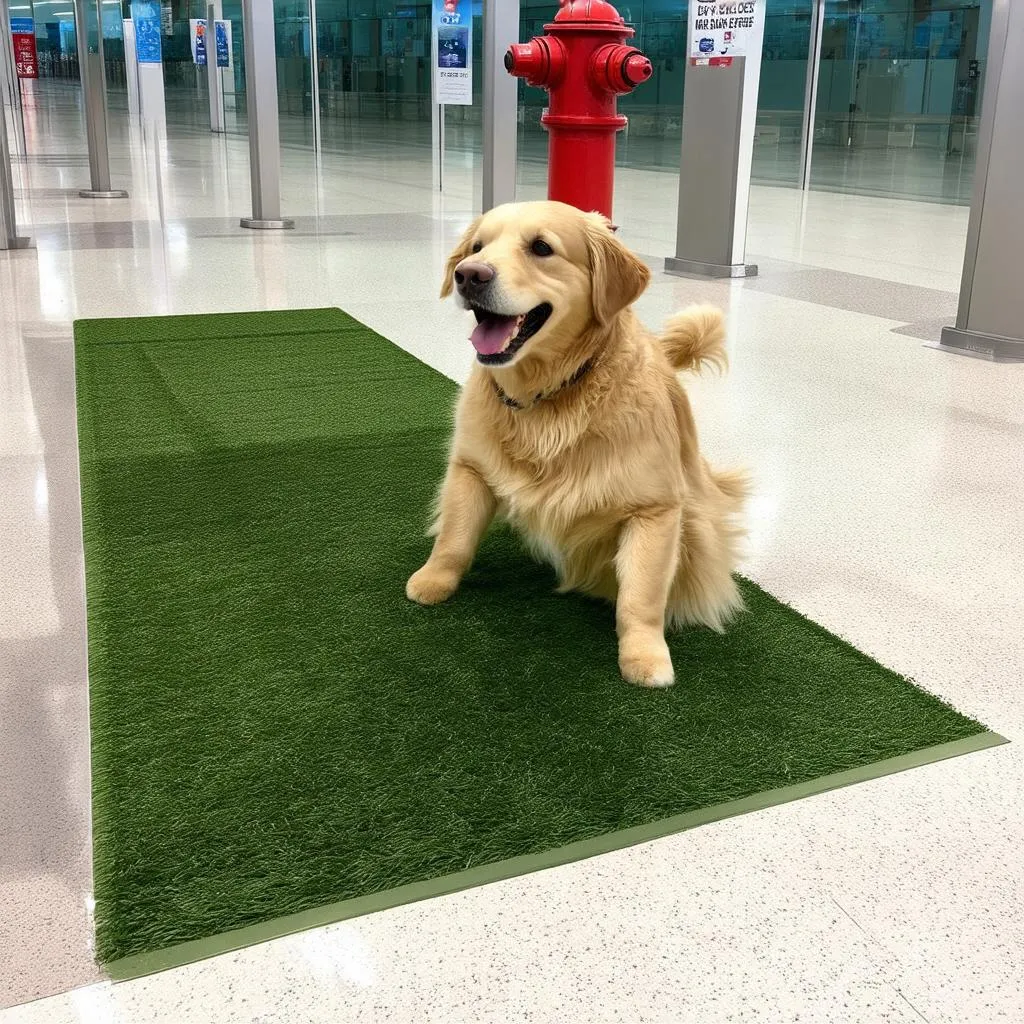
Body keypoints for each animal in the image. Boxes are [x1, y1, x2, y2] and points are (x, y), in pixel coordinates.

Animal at [403, 197, 749, 688]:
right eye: (476, 247)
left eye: (541, 247)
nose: (469, 275)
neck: (546, 398)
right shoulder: (469, 468)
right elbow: (453, 538)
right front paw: (433, 580)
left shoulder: (656, 509)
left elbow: (640, 596)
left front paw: (645, 655)